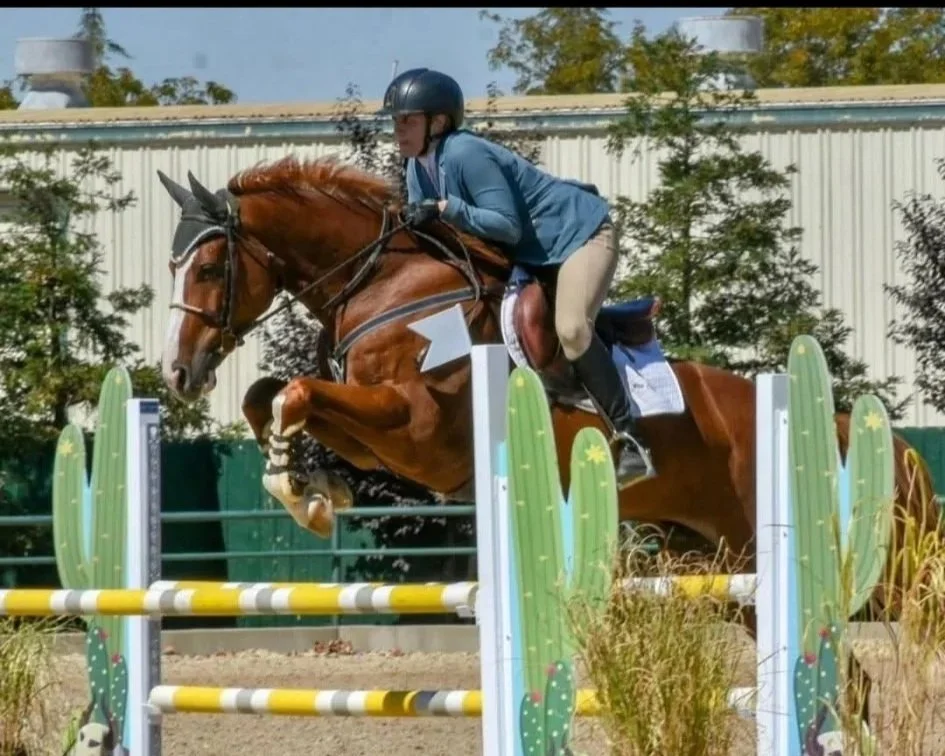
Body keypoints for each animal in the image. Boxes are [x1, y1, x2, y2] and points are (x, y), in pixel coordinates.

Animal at [155, 156, 940, 619]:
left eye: (207, 269)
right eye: (174, 266)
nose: (177, 374)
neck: (386, 283)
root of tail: (847, 429)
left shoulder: (418, 432)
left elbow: (294, 393)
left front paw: (303, 495)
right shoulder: (381, 438)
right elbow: (270, 394)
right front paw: (316, 486)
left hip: (879, 576)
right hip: (724, 566)